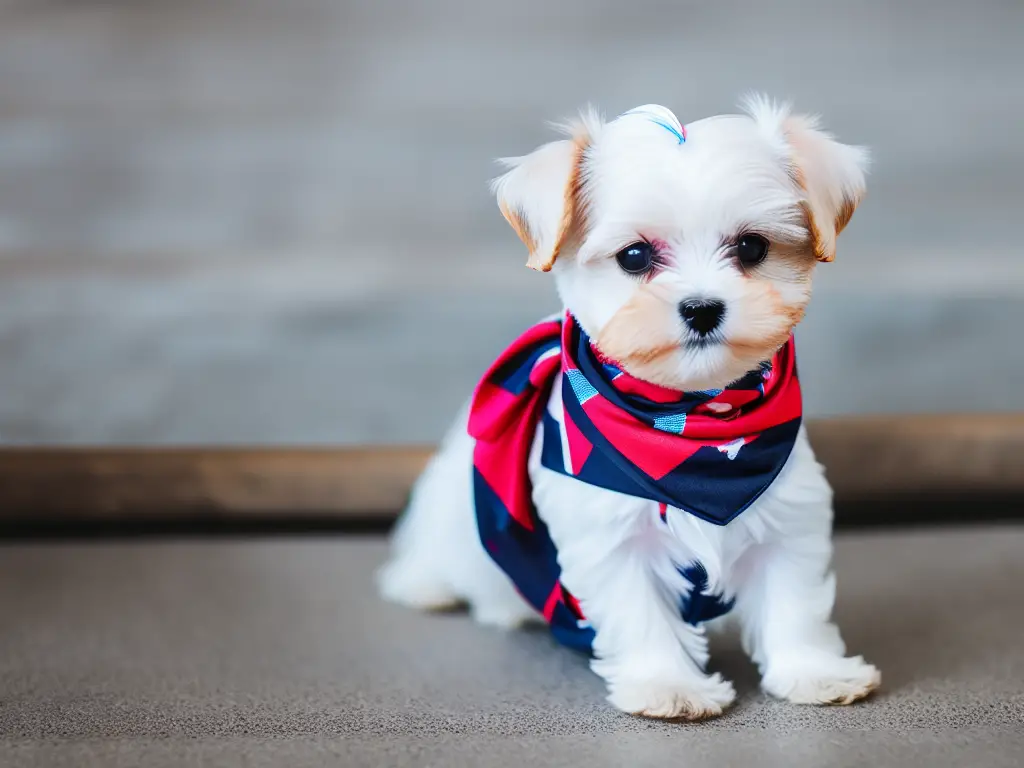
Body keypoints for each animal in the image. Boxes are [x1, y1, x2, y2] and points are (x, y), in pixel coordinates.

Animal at [376, 97, 880, 720]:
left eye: (752, 248)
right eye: (635, 256)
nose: (702, 307)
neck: (692, 429)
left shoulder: (790, 514)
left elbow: (795, 601)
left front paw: (812, 671)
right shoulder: (607, 535)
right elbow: (640, 612)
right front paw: (668, 684)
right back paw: (427, 584)